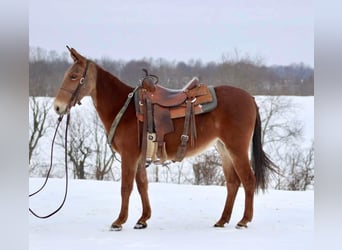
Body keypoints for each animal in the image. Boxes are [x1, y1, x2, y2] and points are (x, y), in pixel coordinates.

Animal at [54, 47, 278, 231]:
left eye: (74, 76)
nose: (57, 106)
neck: (124, 109)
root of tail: (250, 98)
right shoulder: (138, 157)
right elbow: (142, 184)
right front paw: (142, 219)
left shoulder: (129, 156)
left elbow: (126, 187)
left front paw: (119, 221)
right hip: (223, 148)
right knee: (232, 183)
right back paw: (222, 220)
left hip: (236, 148)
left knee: (248, 180)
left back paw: (244, 220)